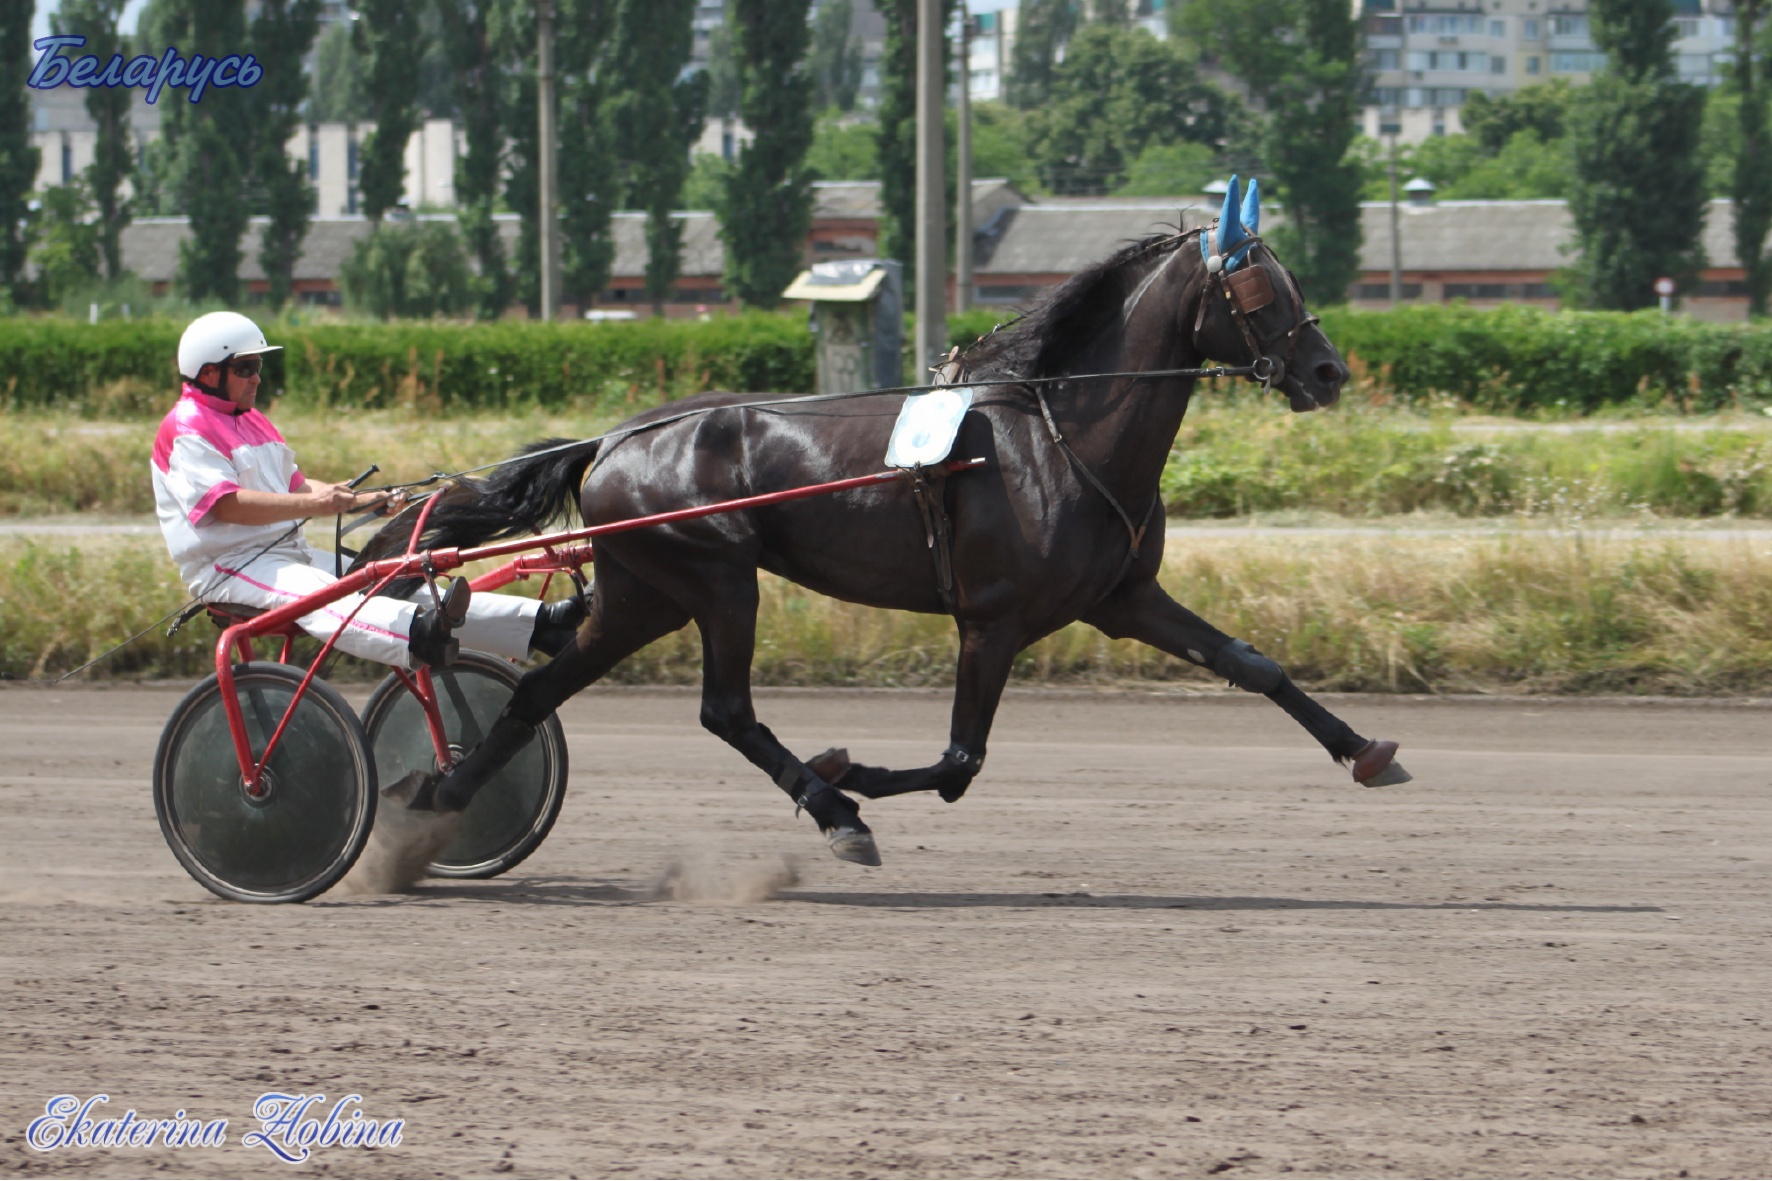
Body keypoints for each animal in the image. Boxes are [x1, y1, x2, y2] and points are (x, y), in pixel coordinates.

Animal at [405, 174, 1410, 861]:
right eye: (1260, 290)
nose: (1327, 371)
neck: (1061, 433)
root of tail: (616, 437)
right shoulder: (993, 620)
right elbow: (961, 760)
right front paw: (848, 774)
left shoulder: (1122, 597)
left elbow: (1253, 663)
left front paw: (1365, 748)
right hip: (716, 580)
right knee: (726, 708)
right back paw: (834, 809)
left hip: (643, 590)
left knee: (541, 689)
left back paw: (444, 796)